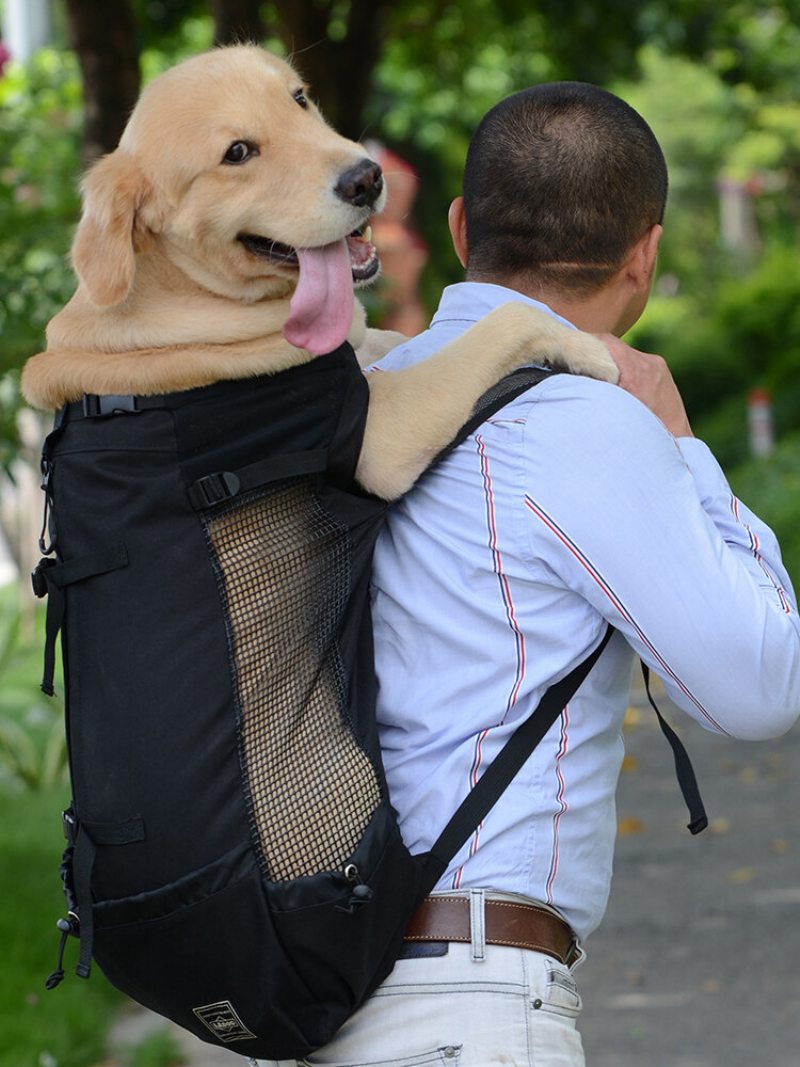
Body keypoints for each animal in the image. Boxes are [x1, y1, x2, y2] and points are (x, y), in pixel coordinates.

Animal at [21, 43, 618, 501]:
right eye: (237, 152)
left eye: (299, 98)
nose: (368, 179)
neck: (193, 293)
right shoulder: (381, 432)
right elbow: (509, 318)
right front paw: (590, 348)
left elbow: (395, 335)